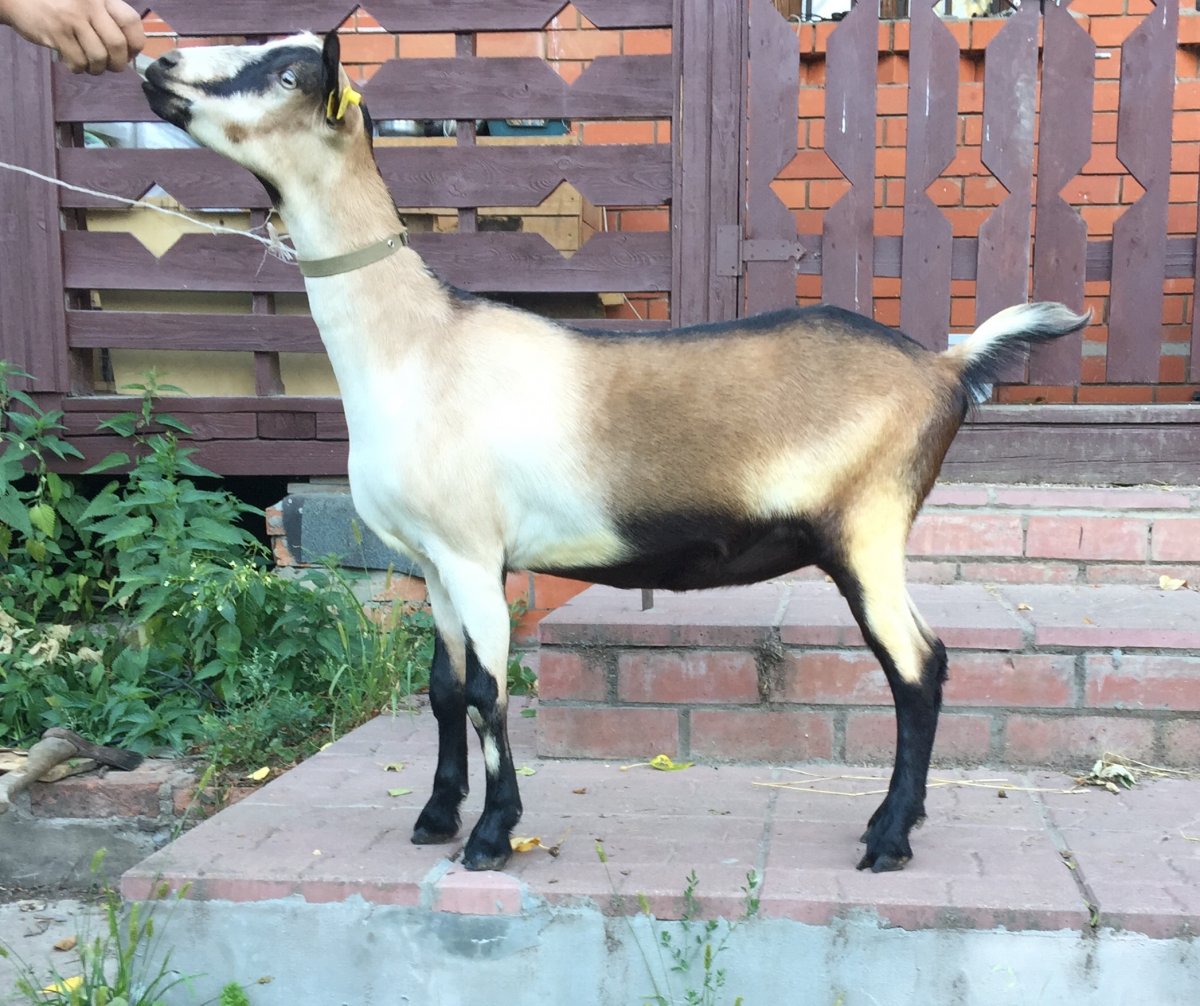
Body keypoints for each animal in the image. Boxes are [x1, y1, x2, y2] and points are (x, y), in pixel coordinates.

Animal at [143, 32, 1089, 873]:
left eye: (289, 71)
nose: (155, 64)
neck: (417, 344)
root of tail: (947, 365)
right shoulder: (435, 561)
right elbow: (445, 687)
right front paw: (437, 816)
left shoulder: (475, 552)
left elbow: (487, 692)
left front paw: (492, 837)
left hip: (867, 528)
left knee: (918, 667)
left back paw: (888, 839)